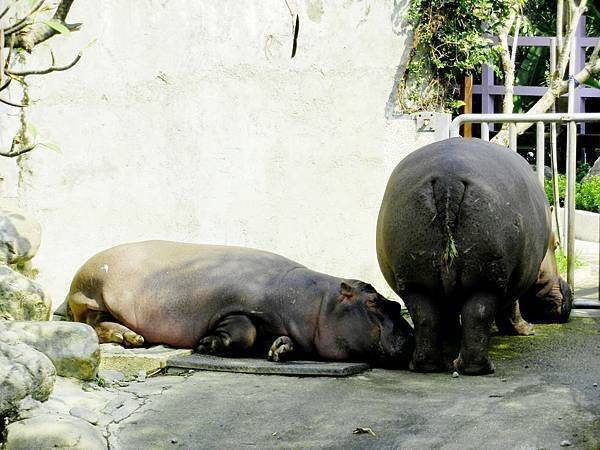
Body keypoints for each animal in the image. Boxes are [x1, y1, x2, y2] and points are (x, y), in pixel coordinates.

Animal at [65, 243, 412, 366]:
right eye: (373, 301)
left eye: (395, 304)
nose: (411, 334)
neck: (319, 305)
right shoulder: (235, 309)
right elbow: (245, 330)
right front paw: (206, 344)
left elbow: (276, 338)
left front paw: (279, 350)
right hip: (95, 295)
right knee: (94, 324)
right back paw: (132, 338)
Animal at [376, 138, 572, 376]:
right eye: (557, 244)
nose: (565, 300)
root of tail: (448, 180)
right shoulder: (514, 279)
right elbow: (511, 309)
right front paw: (528, 330)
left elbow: (448, 315)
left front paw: (452, 338)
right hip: (488, 281)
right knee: (478, 315)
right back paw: (480, 368)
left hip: (416, 281)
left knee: (426, 317)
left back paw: (427, 365)